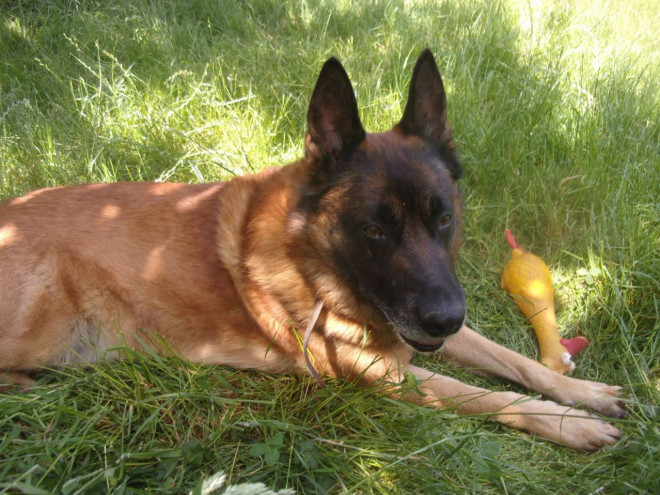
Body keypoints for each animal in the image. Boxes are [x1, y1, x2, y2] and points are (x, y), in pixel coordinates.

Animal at [0, 51, 624, 454]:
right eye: (374, 230)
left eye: (443, 218)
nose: (445, 318)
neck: (316, 261)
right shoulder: (391, 375)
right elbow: (487, 395)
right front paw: (568, 423)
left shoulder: (421, 329)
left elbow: (513, 360)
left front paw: (582, 392)